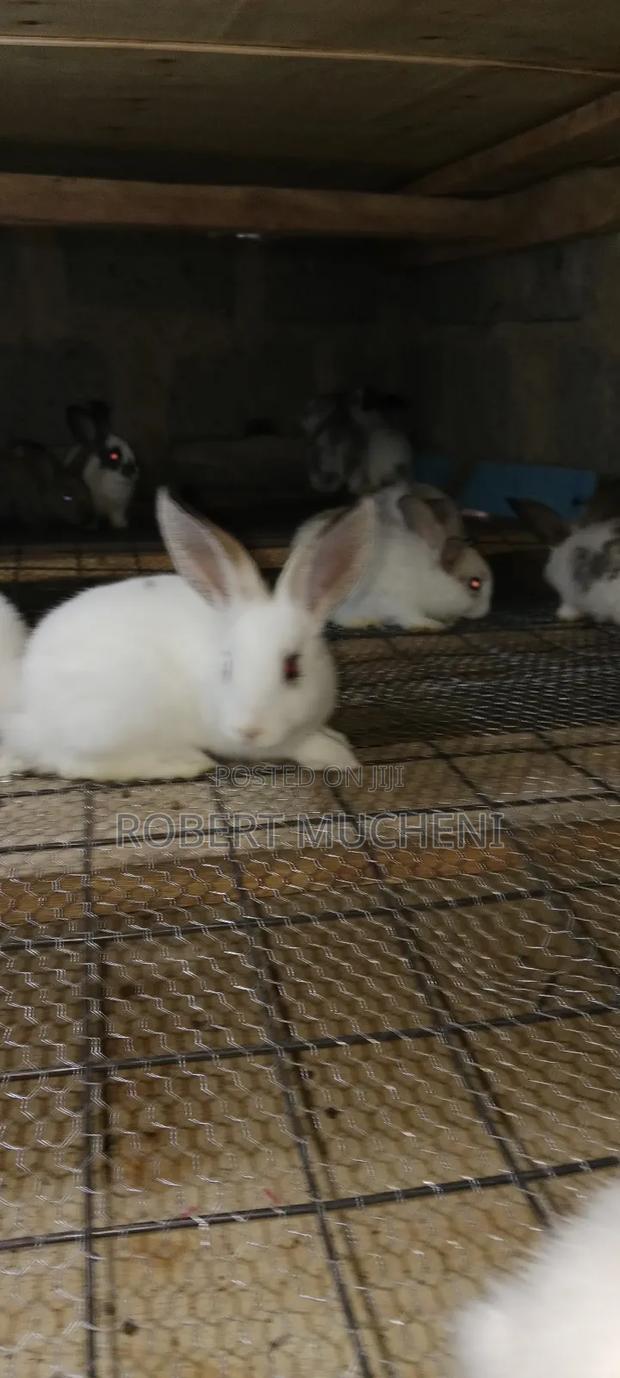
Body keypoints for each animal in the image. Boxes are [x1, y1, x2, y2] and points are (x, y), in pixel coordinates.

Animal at [0, 490, 374, 782]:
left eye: (293, 668)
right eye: (227, 667)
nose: (248, 730)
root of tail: (24, 693)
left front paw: (337, 739)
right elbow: (297, 745)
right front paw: (339, 756)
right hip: (108, 725)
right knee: (73, 765)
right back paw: (182, 762)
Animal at [65, 399, 138, 530]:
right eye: (114, 456)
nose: (133, 469)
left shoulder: (119, 508)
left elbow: (117, 517)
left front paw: (121, 525)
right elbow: (92, 517)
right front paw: (91, 527)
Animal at [321, 483, 492, 630]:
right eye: (475, 583)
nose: (483, 612)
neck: (432, 577)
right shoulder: (400, 604)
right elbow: (411, 617)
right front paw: (433, 625)